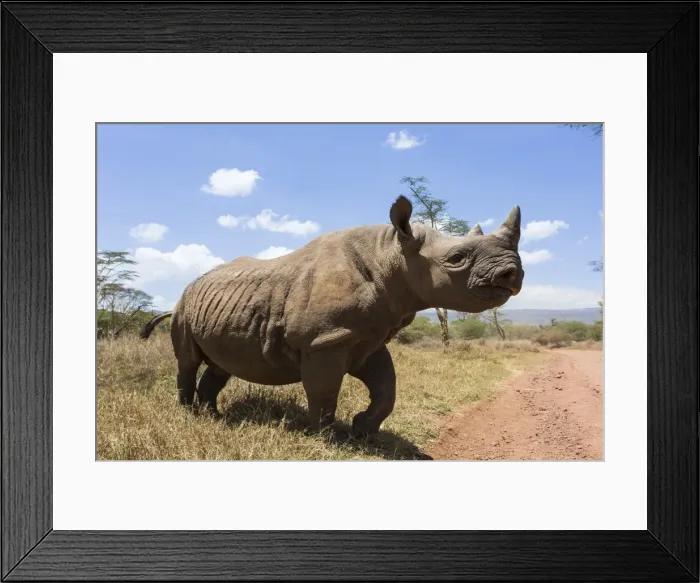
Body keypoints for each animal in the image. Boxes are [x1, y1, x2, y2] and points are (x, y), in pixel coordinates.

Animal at [141, 195, 524, 436]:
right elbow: (324, 390)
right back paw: (190, 414)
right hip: (183, 306)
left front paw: (362, 429)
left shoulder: (367, 336)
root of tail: (189, 289)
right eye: (457, 258)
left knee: (221, 365)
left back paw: (215, 417)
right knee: (188, 361)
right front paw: (328, 437)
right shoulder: (323, 339)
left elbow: (387, 388)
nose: (512, 273)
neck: (391, 255)